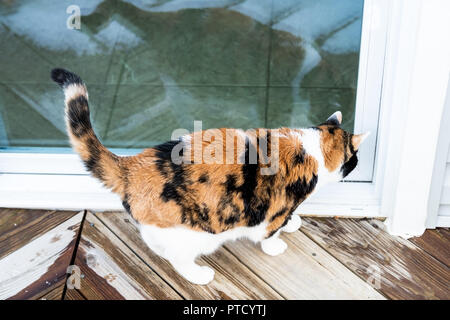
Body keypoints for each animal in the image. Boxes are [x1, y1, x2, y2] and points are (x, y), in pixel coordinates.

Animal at [51, 69, 368, 284]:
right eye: (355, 159)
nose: (356, 165)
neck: (311, 148)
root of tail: (134, 165)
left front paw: (294, 222)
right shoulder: (275, 209)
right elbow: (270, 231)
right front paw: (277, 244)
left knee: (154, 242)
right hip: (199, 234)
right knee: (178, 257)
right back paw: (199, 274)